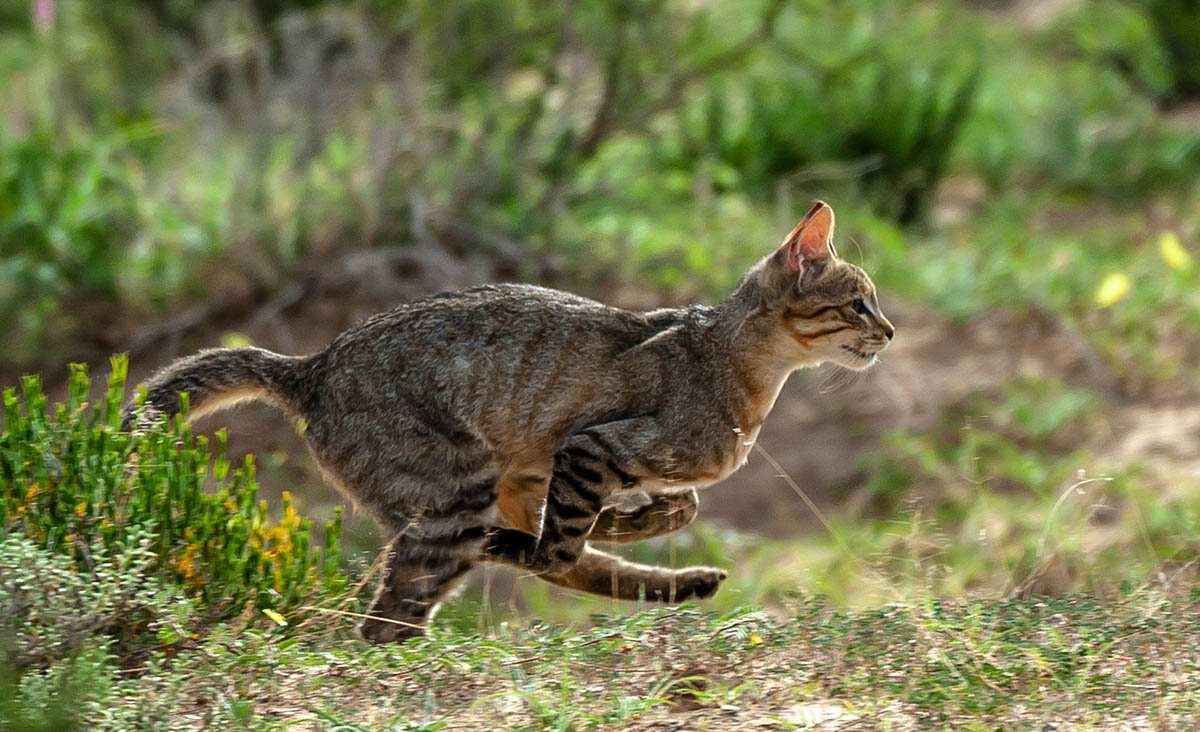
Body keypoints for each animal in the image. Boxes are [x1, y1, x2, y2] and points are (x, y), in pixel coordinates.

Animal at [124, 199, 892, 638]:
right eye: (859, 303)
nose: (890, 332)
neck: (742, 367)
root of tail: (310, 367)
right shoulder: (589, 446)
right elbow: (564, 541)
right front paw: (635, 518)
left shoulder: (549, 465)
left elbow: (640, 518)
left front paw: (646, 518)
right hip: (453, 489)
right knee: (402, 610)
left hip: (488, 476)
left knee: (524, 566)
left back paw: (682, 583)